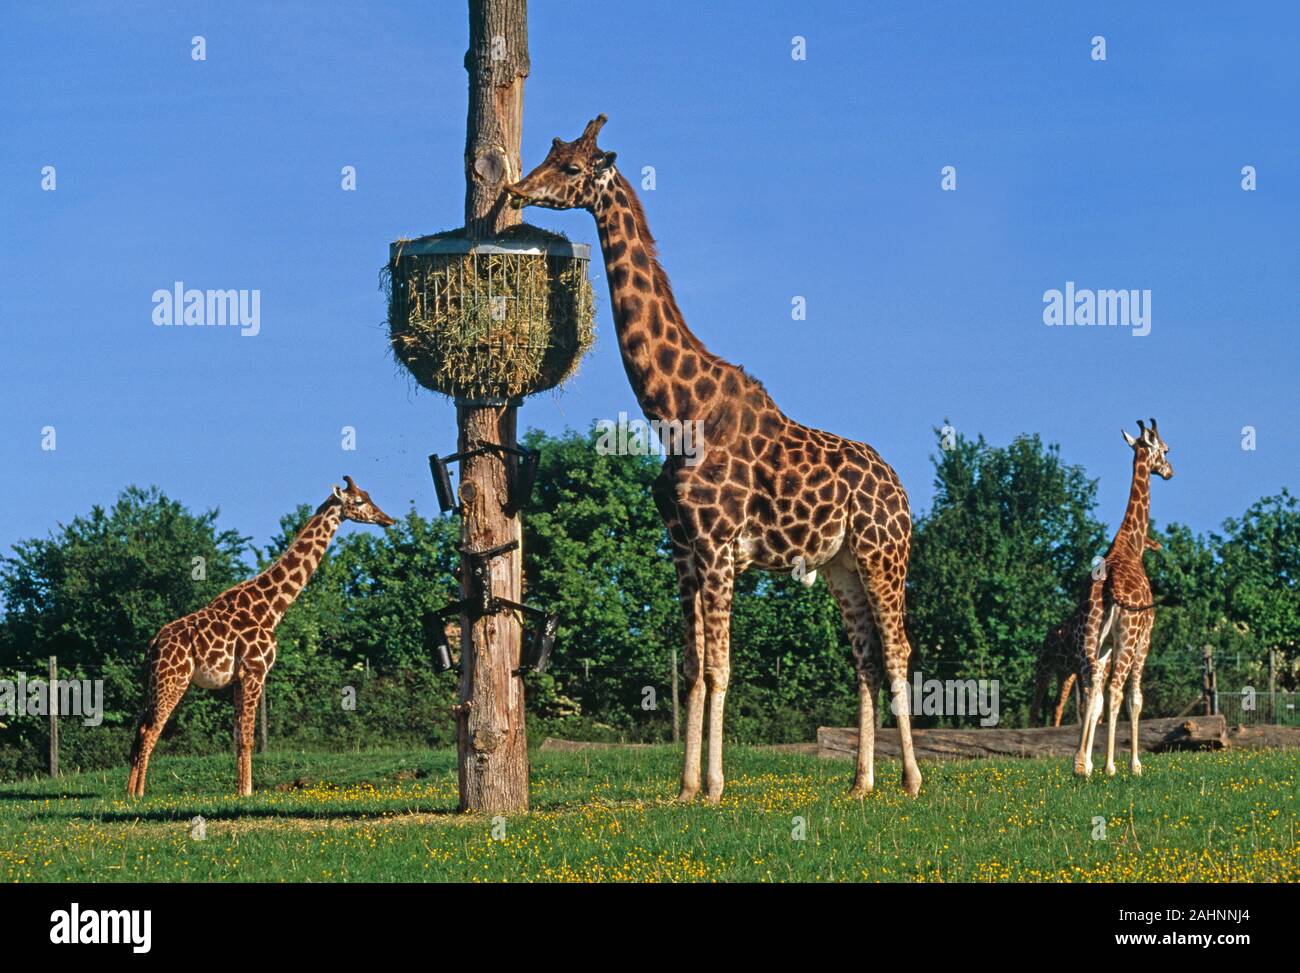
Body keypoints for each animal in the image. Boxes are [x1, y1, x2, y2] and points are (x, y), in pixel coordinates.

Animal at [126, 477, 395, 798]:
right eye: (358, 501)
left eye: (368, 495)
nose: (388, 519)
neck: (271, 607)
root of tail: (153, 644)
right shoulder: (255, 671)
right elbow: (248, 737)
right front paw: (247, 792)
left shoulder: (238, 678)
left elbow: (237, 736)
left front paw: (241, 789)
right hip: (174, 680)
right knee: (150, 729)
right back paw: (139, 793)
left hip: (153, 683)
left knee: (139, 728)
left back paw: (127, 792)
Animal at [508, 115, 923, 802]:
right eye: (549, 151)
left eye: (570, 167)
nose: (515, 190)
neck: (676, 410)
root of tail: (901, 489)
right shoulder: (682, 546)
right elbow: (695, 666)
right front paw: (685, 789)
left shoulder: (720, 545)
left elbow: (722, 668)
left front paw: (717, 787)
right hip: (840, 564)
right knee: (863, 658)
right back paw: (862, 783)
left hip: (883, 554)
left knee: (898, 651)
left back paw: (913, 780)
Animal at [1032, 536, 1160, 726]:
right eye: (1148, 539)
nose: (1157, 544)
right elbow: (1086, 704)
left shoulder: (1095, 671)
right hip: (1045, 664)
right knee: (1036, 702)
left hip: (1065, 673)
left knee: (1057, 704)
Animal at [1069, 419, 1172, 777]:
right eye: (1165, 449)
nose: (1169, 471)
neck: (1130, 545)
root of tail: (1108, 585)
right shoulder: (1146, 637)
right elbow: (1135, 698)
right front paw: (1135, 764)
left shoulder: (1106, 644)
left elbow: (1096, 696)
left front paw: (1087, 762)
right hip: (1129, 635)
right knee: (1115, 688)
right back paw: (1112, 766)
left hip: (1087, 634)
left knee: (1091, 686)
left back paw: (1081, 766)